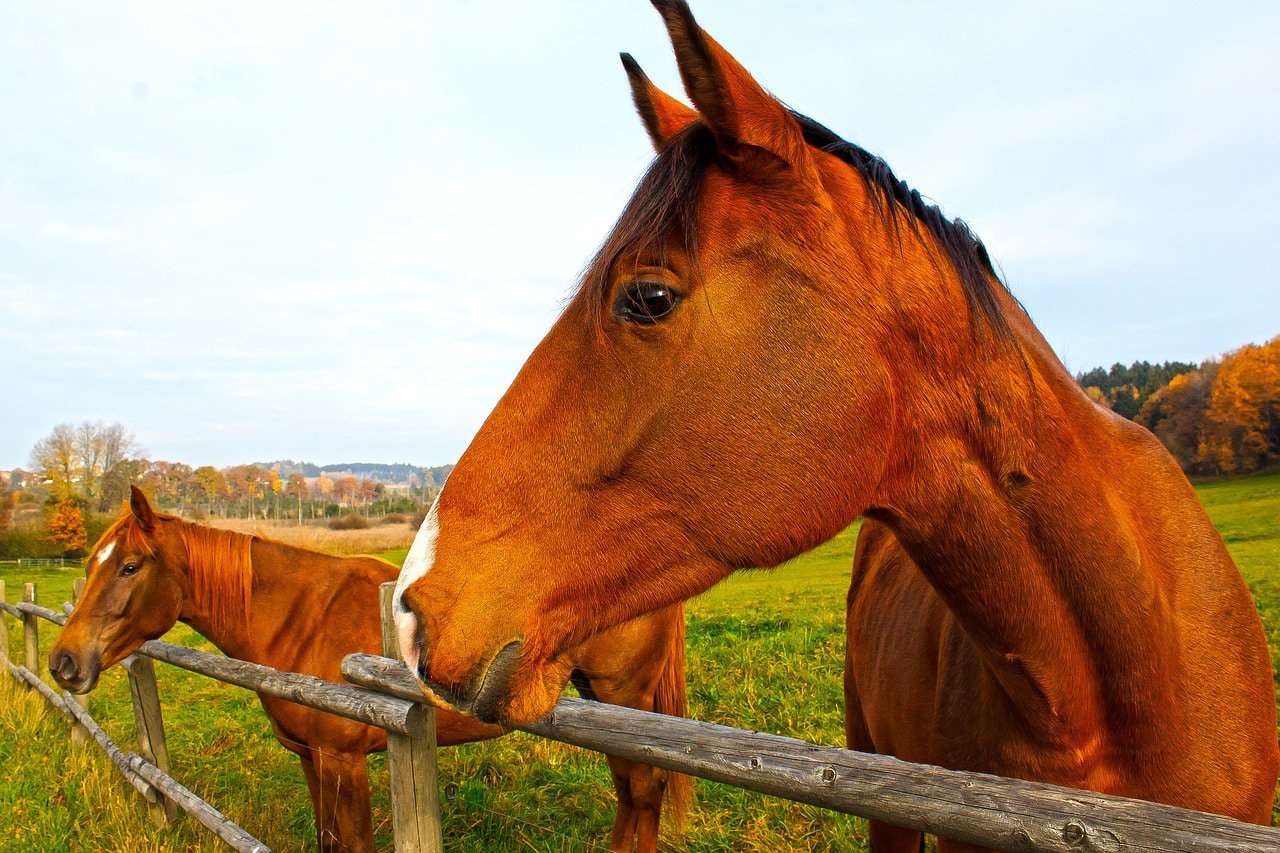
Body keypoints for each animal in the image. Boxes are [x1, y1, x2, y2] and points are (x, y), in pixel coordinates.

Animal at [49, 486, 690, 853]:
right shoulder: (311, 760)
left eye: (130, 566)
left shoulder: (343, 762)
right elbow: (329, 839)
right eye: (93, 563)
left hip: (625, 697)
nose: (64, 661)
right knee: (630, 792)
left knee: (644, 790)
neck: (300, 616)